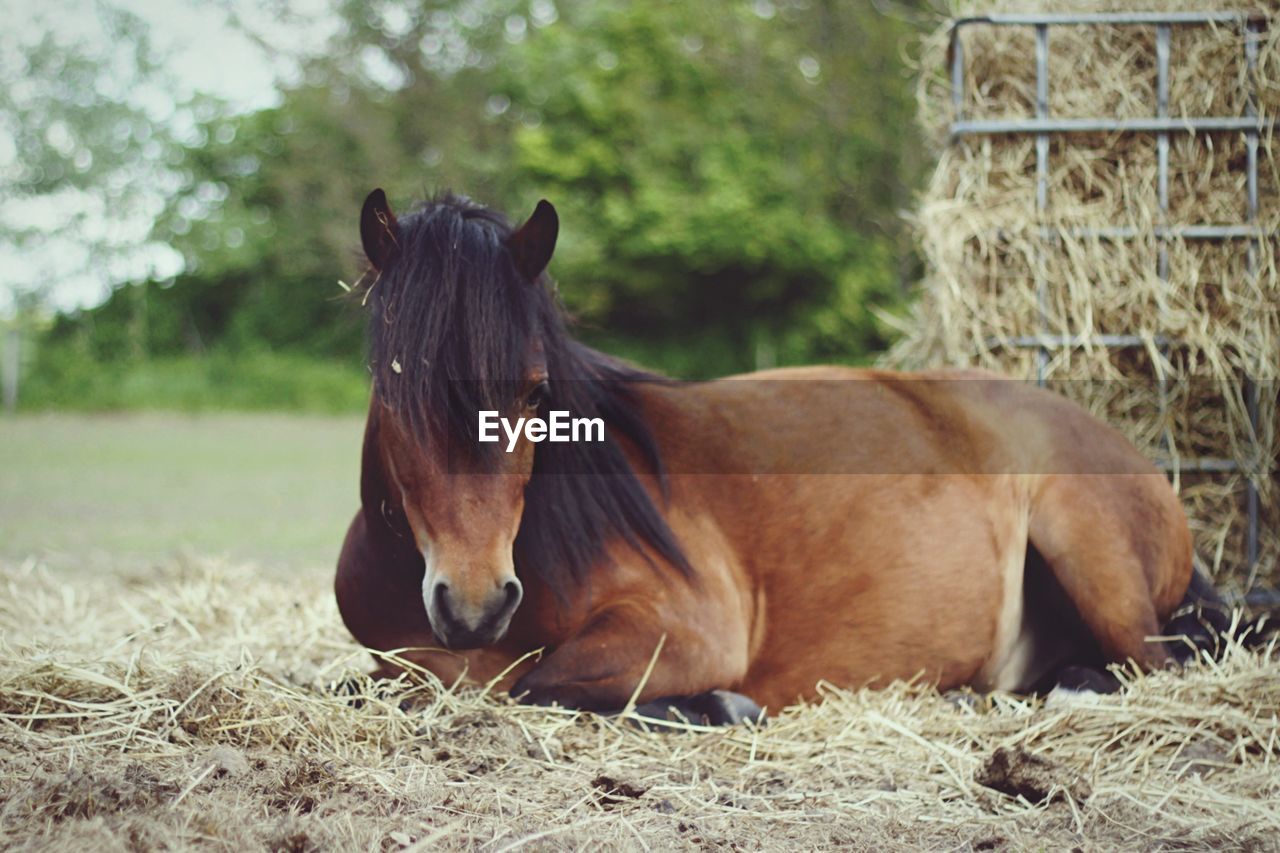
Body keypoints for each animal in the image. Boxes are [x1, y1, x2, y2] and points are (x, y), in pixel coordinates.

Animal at [337, 188, 1228, 722]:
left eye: (532, 390)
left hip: (1089, 546)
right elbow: (371, 681)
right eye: (395, 381)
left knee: (1153, 664)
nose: (475, 603)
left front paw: (723, 706)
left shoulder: (686, 629)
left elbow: (531, 682)